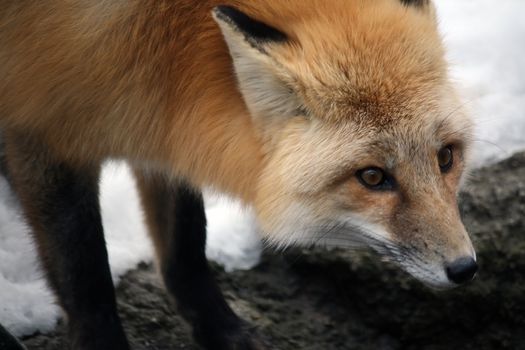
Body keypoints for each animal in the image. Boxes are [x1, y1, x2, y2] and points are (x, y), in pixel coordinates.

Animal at [0, 0, 474, 348]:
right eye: (372, 177)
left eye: (446, 157)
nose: (465, 268)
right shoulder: (40, 131)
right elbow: (84, 272)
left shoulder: (162, 129)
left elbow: (186, 246)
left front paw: (224, 332)